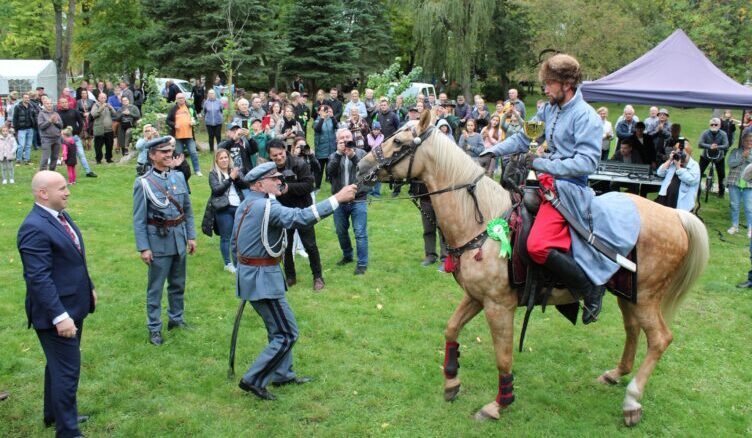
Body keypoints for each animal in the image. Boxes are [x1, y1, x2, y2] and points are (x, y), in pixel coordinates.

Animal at [356, 110, 708, 428]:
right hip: (628, 293)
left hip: (646, 297)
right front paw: (452, 382)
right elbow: (451, 329)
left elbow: (503, 357)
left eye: (399, 141)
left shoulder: (498, 306)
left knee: (660, 339)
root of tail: (676, 215)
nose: (361, 167)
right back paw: (616, 373)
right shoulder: (476, 297)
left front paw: (499, 404)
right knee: (633, 329)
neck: (482, 221)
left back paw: (632, 400)